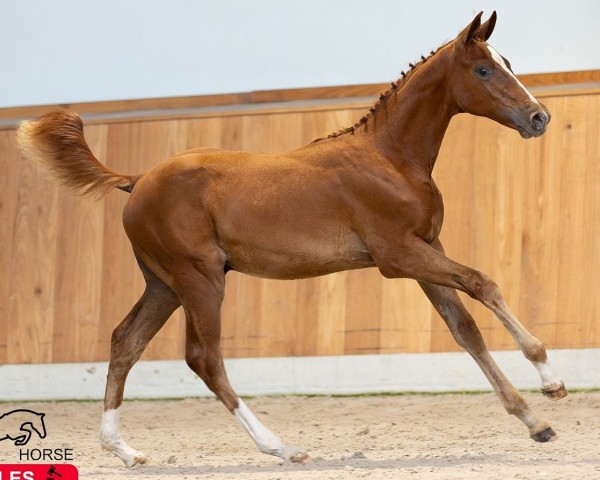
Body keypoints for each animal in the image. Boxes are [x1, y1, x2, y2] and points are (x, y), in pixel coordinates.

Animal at [16, 12, 564, 468]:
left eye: (508, 63)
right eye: (484, 71)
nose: (539, 118)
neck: (389, 158)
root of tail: (136, 180)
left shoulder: (427, 248)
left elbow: (465, 328)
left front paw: (534, 421)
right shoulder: (398, 255)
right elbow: (484, 284)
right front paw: (551, 380)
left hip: (163, 284)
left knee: (124, 342)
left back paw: (125, 451)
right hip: (199, 280)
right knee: (203, 357)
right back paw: (282, 447)